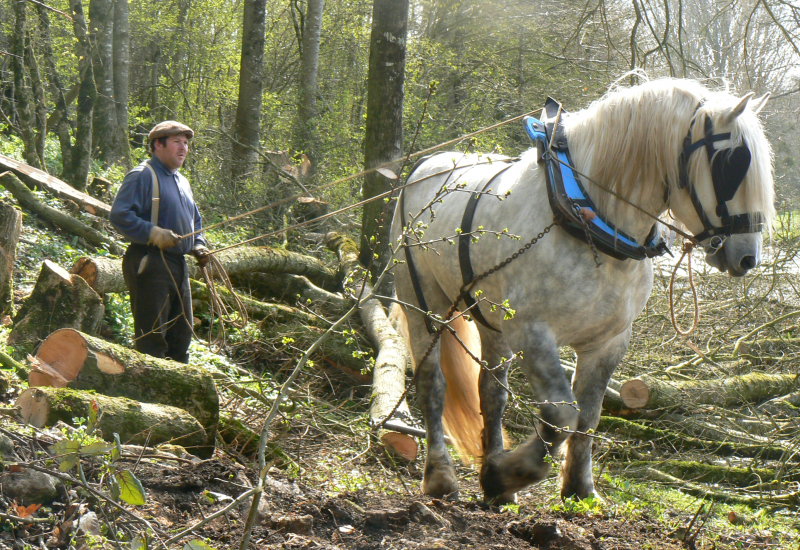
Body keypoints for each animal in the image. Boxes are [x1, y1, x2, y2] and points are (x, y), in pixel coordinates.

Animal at [390, 77, 776, 504]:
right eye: (731, 163)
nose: (748, 257)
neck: (586, 216)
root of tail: (423, 167)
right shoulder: (533, 333)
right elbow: (562, 414)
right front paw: (509, 474)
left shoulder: (607, 342)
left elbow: (588, 415)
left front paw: (576, 486)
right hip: (423, 305)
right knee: (433, 383)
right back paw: (440, 476)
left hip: (493, 323)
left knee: (492, 392)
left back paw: (496, 482)